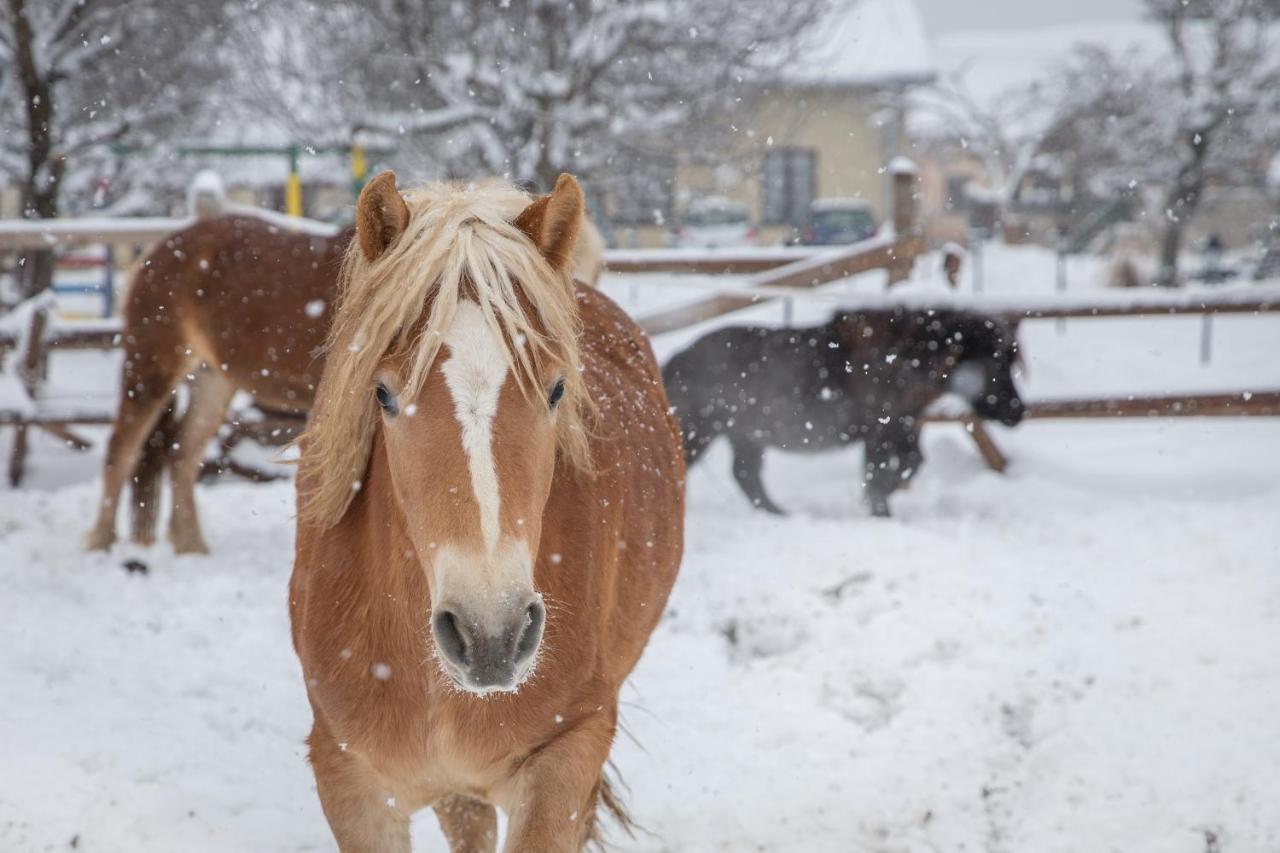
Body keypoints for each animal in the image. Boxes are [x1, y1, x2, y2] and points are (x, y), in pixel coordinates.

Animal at [87, 194, 606, 550]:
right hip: (151, 367)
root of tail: (161, 249)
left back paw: (191, 545)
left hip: (216, 379)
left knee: (184, 452)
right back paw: (101, 542)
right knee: (122, 449)